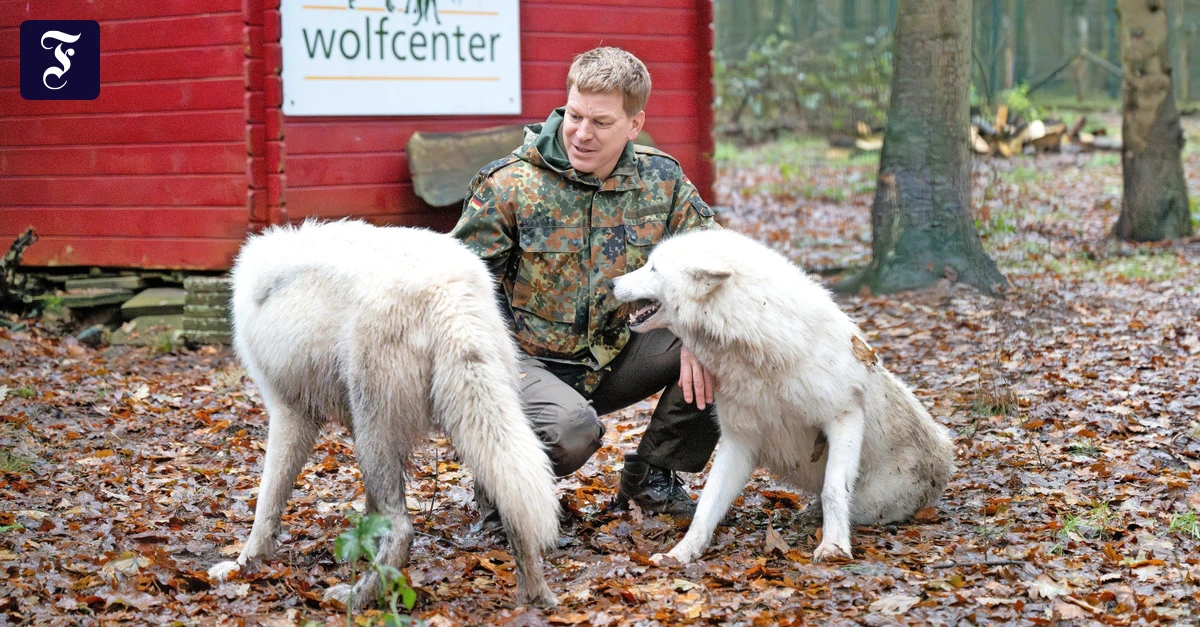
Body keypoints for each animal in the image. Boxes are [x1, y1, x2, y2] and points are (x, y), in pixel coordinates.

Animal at [207, 220, 559, 607]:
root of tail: (446, 291)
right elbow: (369, 511)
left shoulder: (291, 414)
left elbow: (266, 505)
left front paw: (243, 565)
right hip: (474, 419)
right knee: (517, 506)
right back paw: (535, 597)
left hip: (374, 437)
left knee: (403, 530)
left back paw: (355, 598)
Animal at [612, 229, 955, 563]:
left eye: (653, 268)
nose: (611, 284)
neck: (759, 347)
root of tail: (945, 459)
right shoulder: (740, 440)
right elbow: (707, 504)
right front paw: (681, 553)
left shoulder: (844, 417)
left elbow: (833, 490)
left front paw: (834, 548)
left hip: (876, 497)